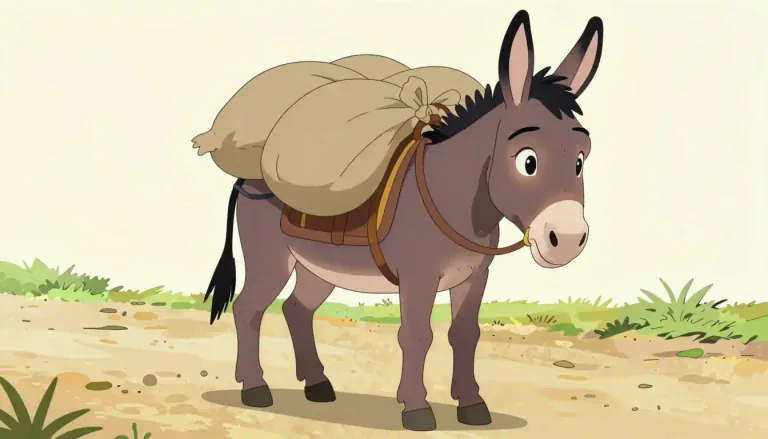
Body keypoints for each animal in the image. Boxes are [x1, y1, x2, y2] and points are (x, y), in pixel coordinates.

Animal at [202, 9, 604, 431]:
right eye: (528, 161)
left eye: (581, 158)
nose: (568, 238)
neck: (451, 196)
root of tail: (249, 178)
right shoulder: (418, 277)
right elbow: (416, 336)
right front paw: (416, 409)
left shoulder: (474, 276)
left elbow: (465, 334)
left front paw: (473, 406)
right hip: (271, 262)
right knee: (248, 309)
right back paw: (255, 388)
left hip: (317, 267)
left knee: (297, 309)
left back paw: (318, 385)